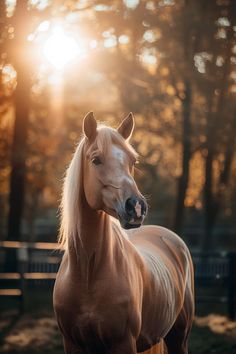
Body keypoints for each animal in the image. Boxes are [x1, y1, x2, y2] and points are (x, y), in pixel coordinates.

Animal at [53, 111, 194, 354]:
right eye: (96, 160)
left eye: (132, 161)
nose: (136, 207)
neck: (87, 272)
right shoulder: (72, 343)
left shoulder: (123, 342)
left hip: (179, 337)